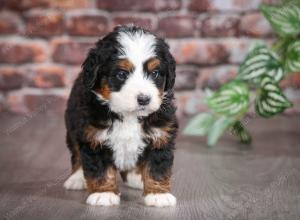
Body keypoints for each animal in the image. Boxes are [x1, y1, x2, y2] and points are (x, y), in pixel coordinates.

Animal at [62, 25, 177, 208]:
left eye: (155, 73)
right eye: (122, 74)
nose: (144, 99)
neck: (128, 115)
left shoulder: (160, 135)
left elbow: (157, 167)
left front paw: (159, 194)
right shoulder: (94, 137)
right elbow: (100, 169)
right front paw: (103, 193)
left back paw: (136, 178)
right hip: (72, 128)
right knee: (76, 154)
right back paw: (77, 178)